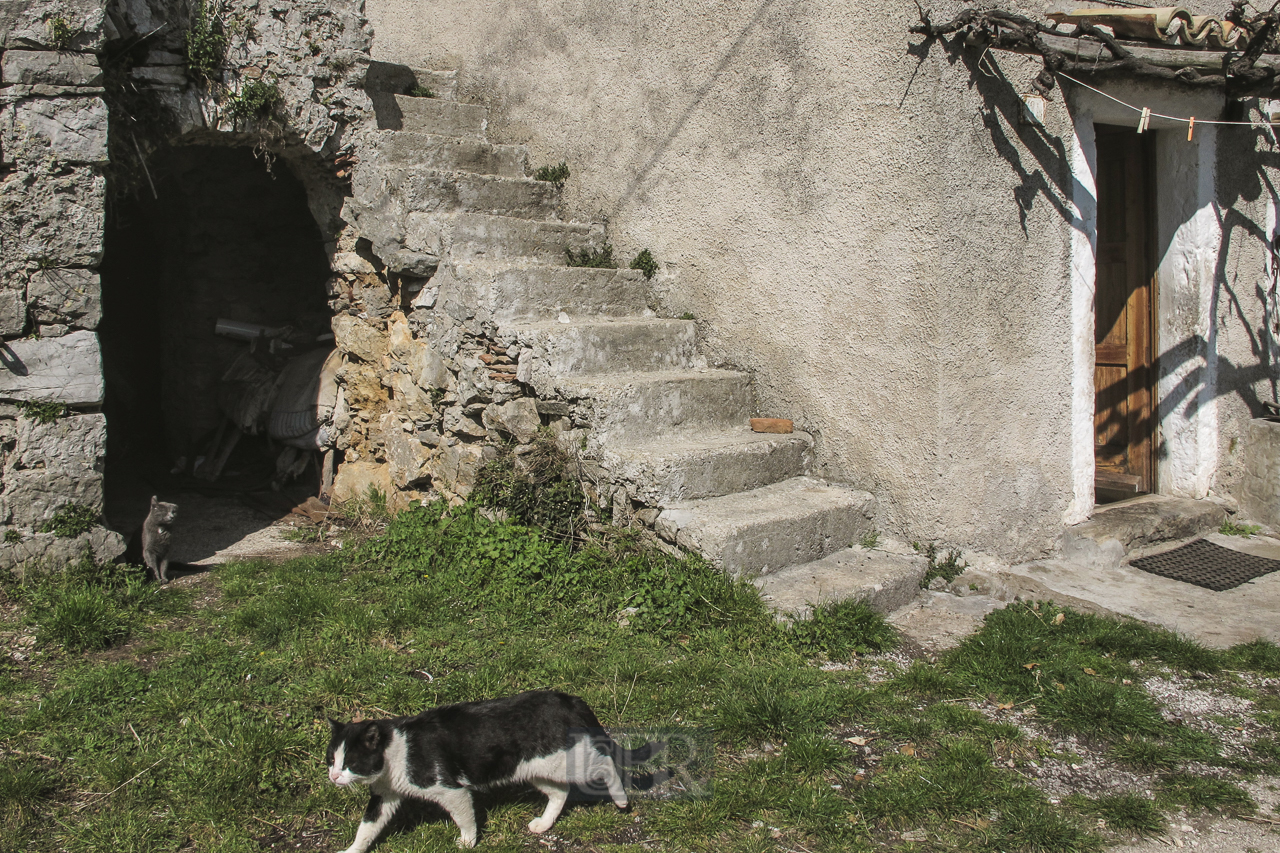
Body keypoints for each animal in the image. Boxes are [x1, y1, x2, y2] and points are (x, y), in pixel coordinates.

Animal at [327, 686, 660, 845]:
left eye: (351, 763)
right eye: (331, 759)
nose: (333, 776)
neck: (397, 751)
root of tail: (569, 699)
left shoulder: (451, 790)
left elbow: (465, 818)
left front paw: (468, 842)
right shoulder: (384, 796)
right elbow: (366, 829)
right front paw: (352, 850)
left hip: (572, 760)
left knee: (605, 764)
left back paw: (621, 800)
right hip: (535, 768)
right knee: (560, 793)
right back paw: (543, 824)